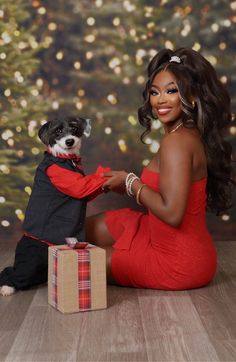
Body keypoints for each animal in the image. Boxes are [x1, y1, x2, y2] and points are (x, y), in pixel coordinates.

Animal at [0, 116, 107, 296]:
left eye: (74, 128)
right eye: (58, 131)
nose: (70, 141)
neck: (66, 158)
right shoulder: (62, 176)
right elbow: (82, 186)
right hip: (30, 258)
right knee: (17, 272)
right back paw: (7, 287)